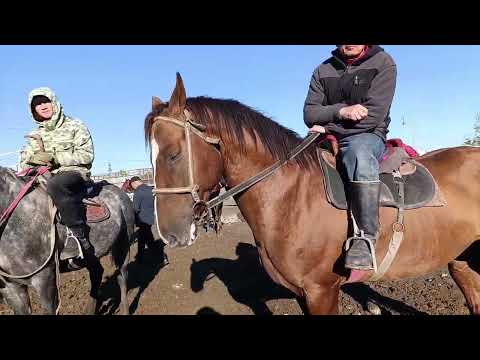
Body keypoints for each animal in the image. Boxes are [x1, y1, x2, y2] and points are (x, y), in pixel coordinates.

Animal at [0, 167, 135, 316]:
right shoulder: (11, 287)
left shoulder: (44, 279)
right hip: (90, 255)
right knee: (97, 273)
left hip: (123, 244)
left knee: (122, 277)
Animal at [145, 74, 480, 316]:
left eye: (174, 154)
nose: (169, 233)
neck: (291, 197)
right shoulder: (302, 294)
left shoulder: (321, 292)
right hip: (462, 260)